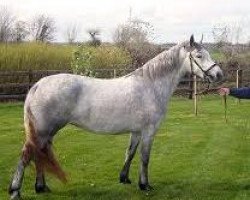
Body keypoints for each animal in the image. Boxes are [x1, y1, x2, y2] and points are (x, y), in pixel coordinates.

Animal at [8, 35, 223, 199]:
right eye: (199, 55)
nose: (219, 74)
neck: (151, 85)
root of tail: (37, 85)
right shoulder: (149, 131)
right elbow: (145, 158)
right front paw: (145, 185)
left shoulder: (136, 132)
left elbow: (130, 153)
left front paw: (124, 178)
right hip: (43, 130)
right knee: (26, 155)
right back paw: (16, 191)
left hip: (46, 132)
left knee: (39, 154)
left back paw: (41, 187)